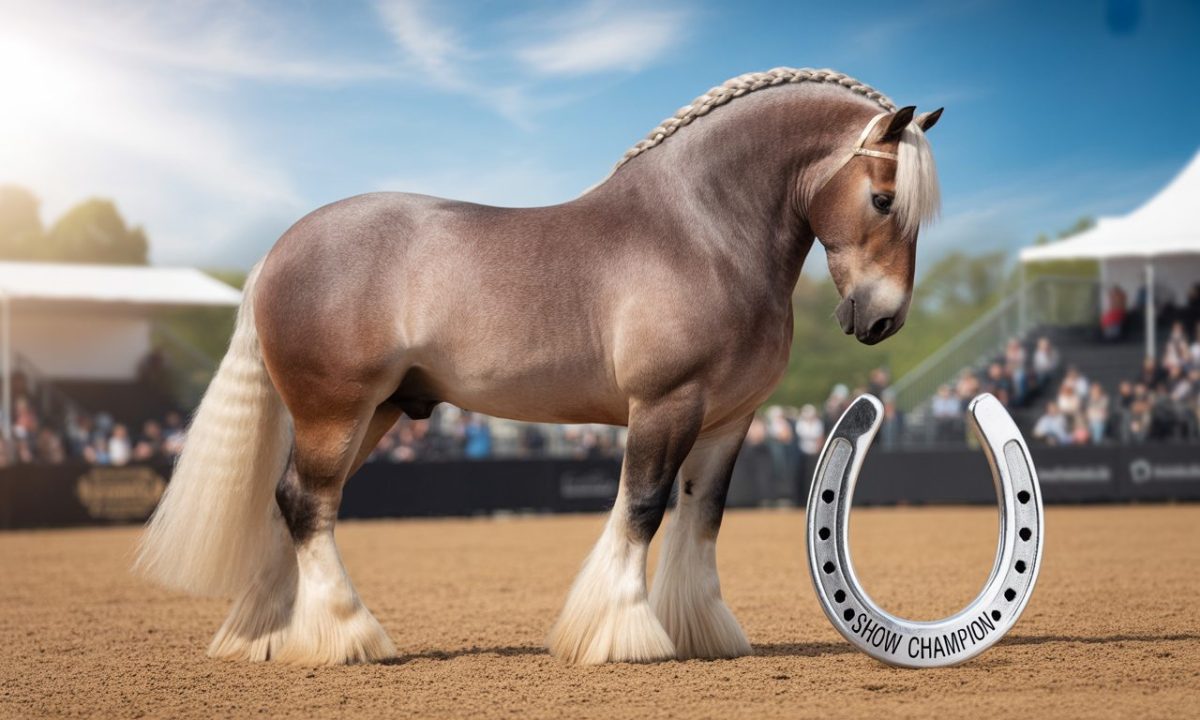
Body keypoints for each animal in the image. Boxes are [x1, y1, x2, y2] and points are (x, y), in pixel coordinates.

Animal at [135, 67, 942, 666]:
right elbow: (642, 508)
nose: (880, 319)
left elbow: (702, 517)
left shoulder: (727, 419)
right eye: (882, 198)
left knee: (291, 501)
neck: (700, 231)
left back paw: (271, 636)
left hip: (377, 414)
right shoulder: (665, 405)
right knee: (309, 505)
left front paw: (703, 632)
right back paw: (350, 635)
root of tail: (278, 252)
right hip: (334, 411)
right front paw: (624, 634)